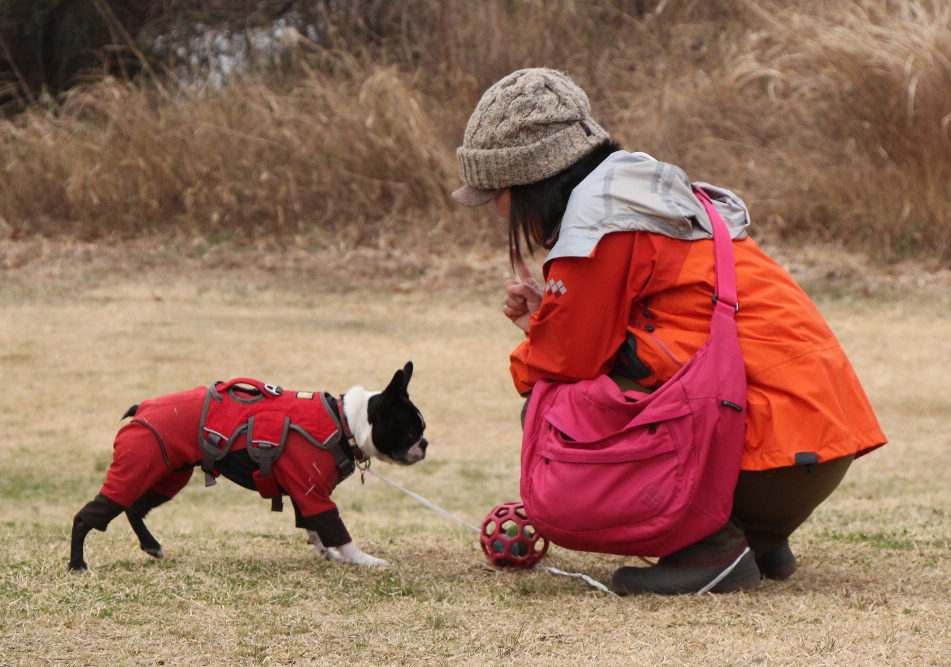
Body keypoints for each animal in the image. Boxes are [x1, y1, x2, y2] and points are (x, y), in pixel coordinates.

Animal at [72, 362, 430, 572]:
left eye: (421, 431)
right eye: (412, 432)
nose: (425, 444)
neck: (346, 423)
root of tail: (142, 407)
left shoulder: (304, 492)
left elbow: (314, 527)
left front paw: (326, 553)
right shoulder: (313, 491)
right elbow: (338, 531)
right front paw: (365, 560)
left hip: (168, 474)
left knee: (134, 508)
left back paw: (152, 546)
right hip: (136, 466)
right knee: (87, 516)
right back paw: (78, 565)